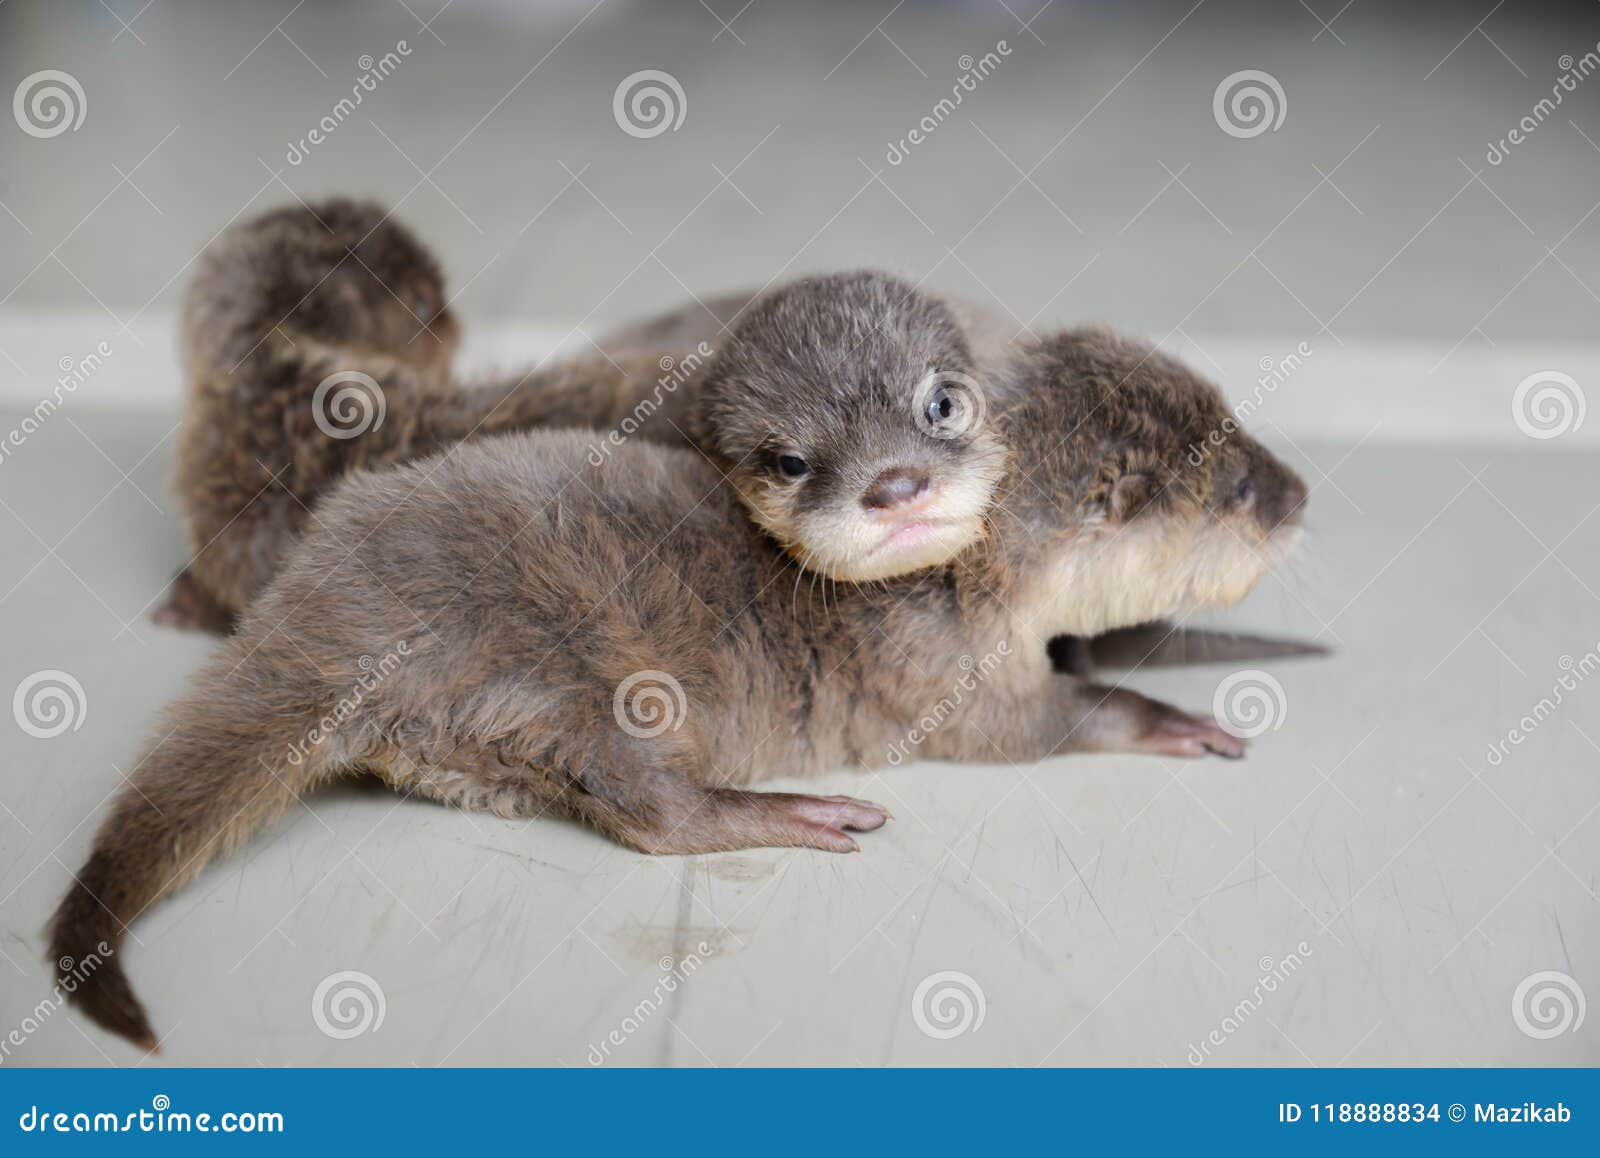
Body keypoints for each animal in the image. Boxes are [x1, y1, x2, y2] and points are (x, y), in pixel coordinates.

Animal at [50, 307, 1305, 1049]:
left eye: (1244, 430)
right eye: (1240, 493)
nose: (1298, 494)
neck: (960, 574)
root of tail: (329, 611)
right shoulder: (945, 676)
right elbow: (1042, 723)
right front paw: (1166, 713)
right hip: (563, 679)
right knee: (649, 811)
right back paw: (792, 811)